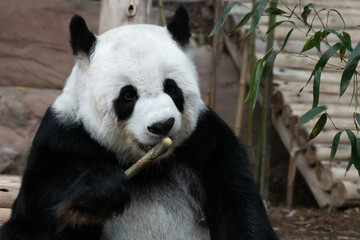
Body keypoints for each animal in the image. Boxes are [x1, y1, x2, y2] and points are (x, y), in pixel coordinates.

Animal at [0, 5, 278, 240]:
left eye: (171, 87)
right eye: (128, 95)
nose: (162, 125)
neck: (147, 165)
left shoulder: (208, 142)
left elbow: (241, 209)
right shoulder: (63, 137)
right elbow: (31, 218)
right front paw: (102, 189)